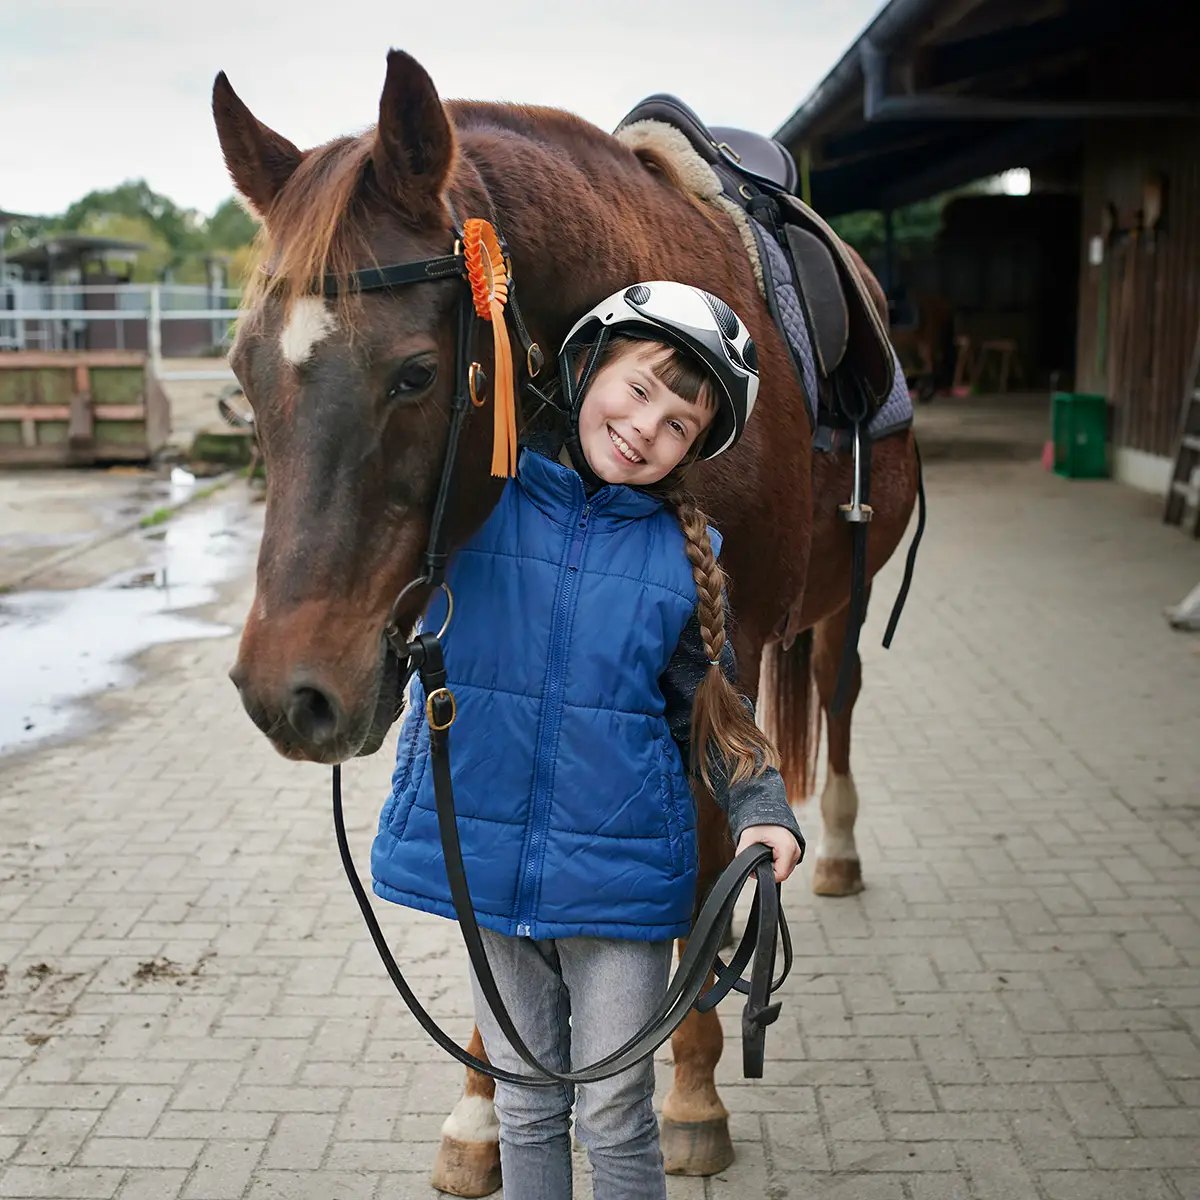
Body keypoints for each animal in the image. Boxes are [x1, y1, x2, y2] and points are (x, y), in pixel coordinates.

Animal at [215, 49, 919, 1196]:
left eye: (417, 373)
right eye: (243, 374)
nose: (291, 695)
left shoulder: (704, 672)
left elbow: (703, 865)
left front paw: (691, 1092)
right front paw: (482, 1107)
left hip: (845, 600)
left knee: (835, 691)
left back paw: (841, 851)